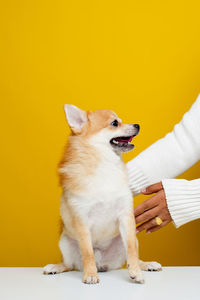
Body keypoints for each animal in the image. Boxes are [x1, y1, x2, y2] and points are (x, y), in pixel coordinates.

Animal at [43, 105, 162, 284]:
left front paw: (136, 272)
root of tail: (103, 264)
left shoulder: (126, 217)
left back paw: (146, 265)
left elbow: (132, 250)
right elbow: (87, 252)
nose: (137, 125)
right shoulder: (82, 220)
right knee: (70, 264)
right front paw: (90, 274)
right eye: (115, 123)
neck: (106, 164)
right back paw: (56, 267)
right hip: (65, 243)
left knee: (130, 254)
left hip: (130, 238)